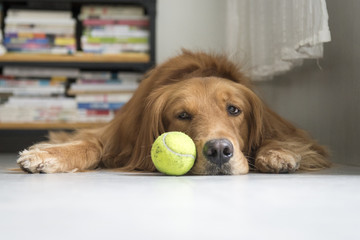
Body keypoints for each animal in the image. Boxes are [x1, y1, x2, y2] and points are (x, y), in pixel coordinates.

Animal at [16, 50, 332, 174]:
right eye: (182, 115)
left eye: (234, 109)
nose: (219, 151)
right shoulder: (119, 135)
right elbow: (90, 144)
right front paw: (48, 155)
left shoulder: (287, 130)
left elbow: (280, 139)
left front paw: (278, 154)